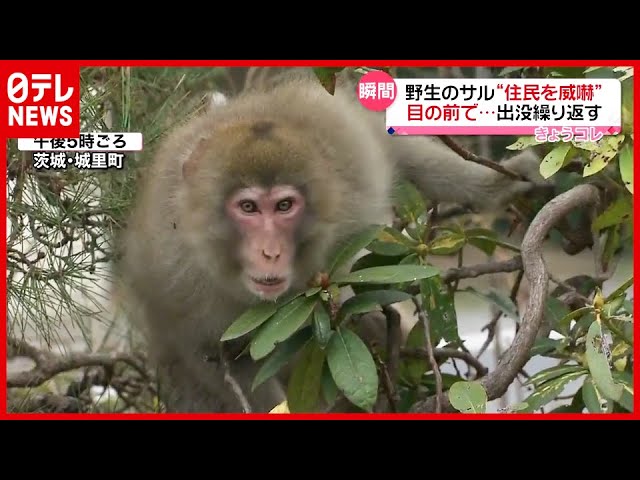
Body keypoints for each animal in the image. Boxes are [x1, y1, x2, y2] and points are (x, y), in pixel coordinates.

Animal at [115, 66, 544, 412]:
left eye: (284, 205)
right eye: (248, 207)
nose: (270, 252)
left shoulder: (348, 166)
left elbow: (388, 143)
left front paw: (495, 185)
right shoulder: (178, 282)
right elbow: (221, 360)